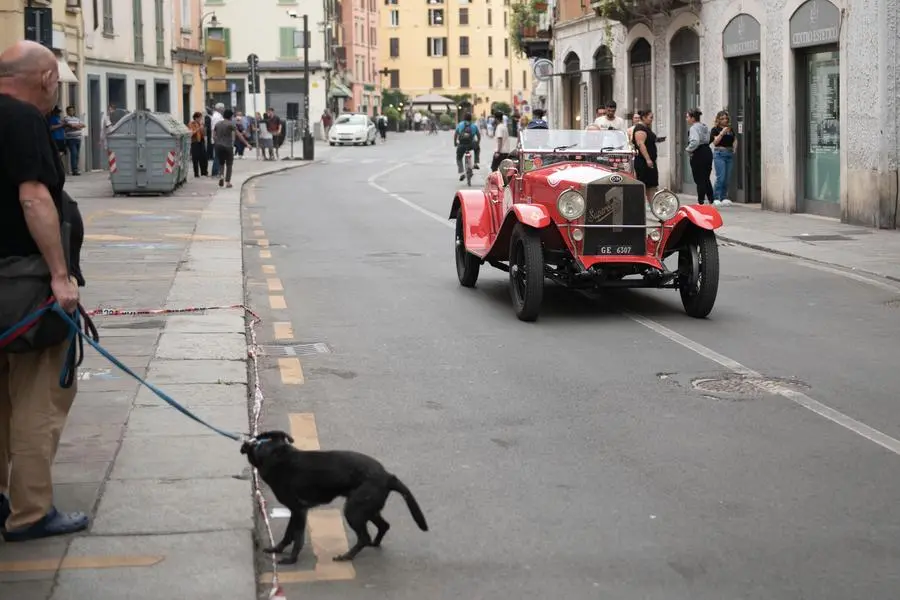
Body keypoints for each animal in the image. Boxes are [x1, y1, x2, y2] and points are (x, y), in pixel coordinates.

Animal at [241, 432, 428, 564]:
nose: (248, 443)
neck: (275, 455)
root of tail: (388, 476)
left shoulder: (299, 510)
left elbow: (297, 538)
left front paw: (291, 559)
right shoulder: (296, 512)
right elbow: (289, 534)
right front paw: (277, 549)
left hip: (354, 511)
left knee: (364, 537)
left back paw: (347, 556)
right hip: (366, 509)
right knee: (384, 526)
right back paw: (374, 544)